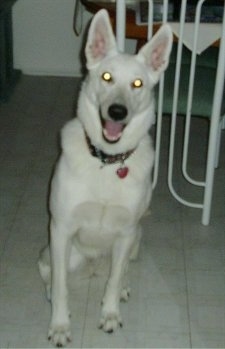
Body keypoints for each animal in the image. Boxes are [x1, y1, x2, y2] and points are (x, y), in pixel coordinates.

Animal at [38, 10, 172, 346]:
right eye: (106, 77)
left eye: (137, 83)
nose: (117, 111)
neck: (108, 163)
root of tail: (93, 265)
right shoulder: (61, 228)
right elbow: (61, 286)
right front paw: (60, 326)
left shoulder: (125, 232)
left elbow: (112, 281)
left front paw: (110, 314)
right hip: (56, 250)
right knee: (49, 273)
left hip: (135, 239)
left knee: (118, 272)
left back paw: (121, 285)